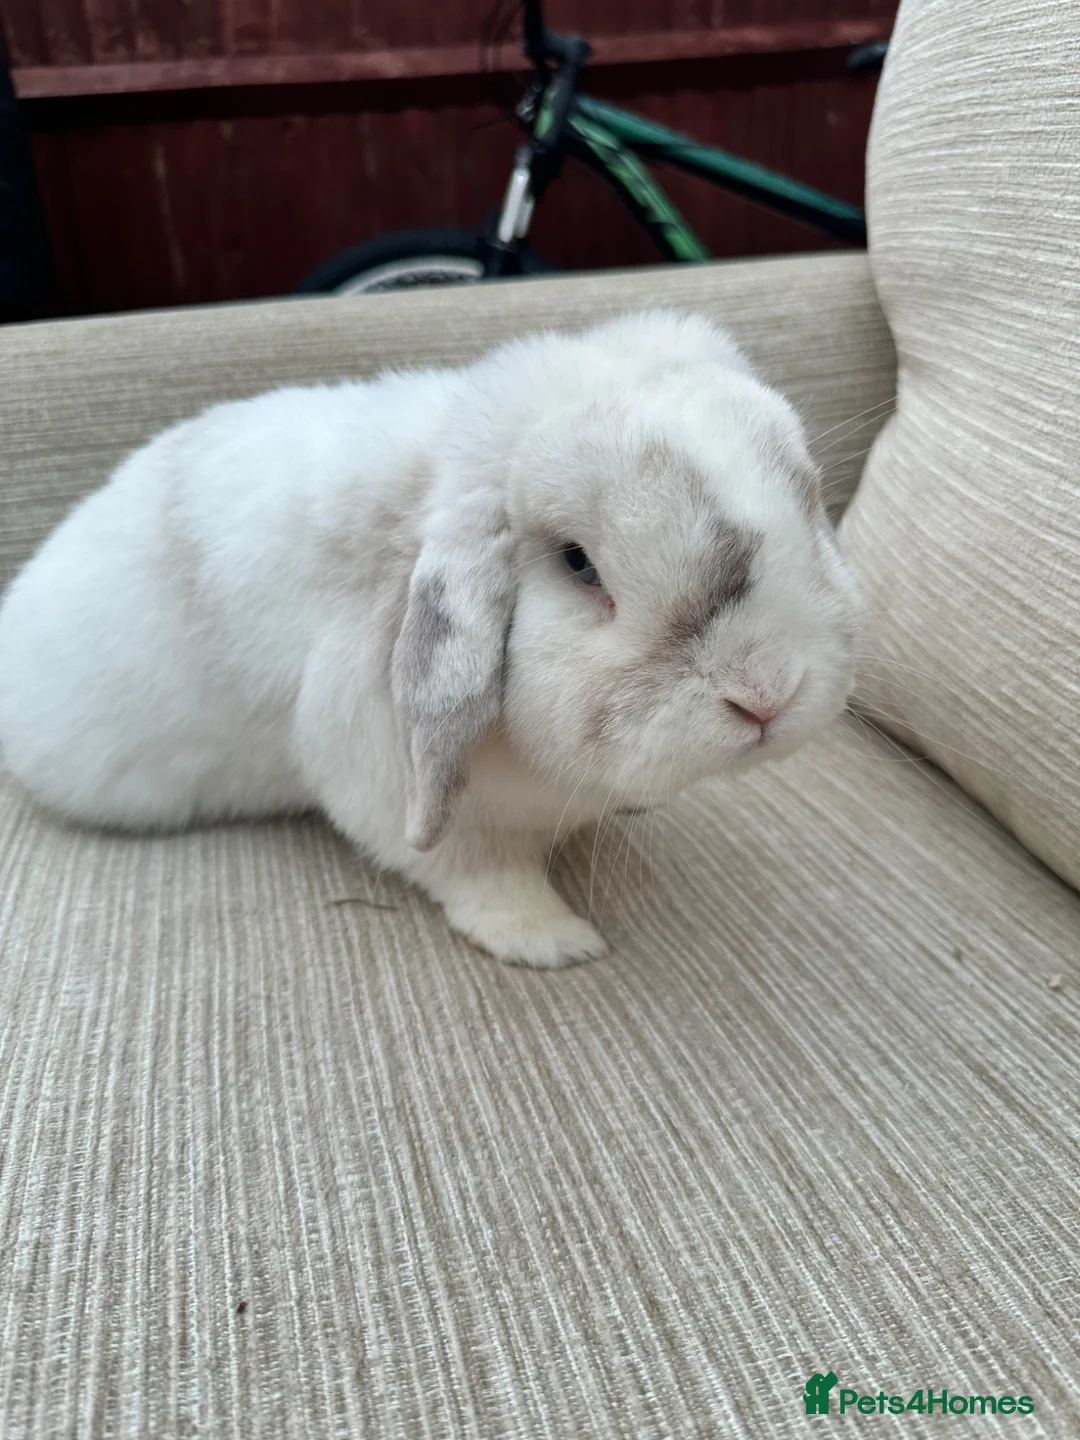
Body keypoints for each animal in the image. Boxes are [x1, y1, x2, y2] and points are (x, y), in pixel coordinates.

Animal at [0, 310, 860, 968]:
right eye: (579, 564)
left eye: (808, 503)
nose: (766, 692)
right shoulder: (399, 790)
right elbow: (480, 872)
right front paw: (553, 942)